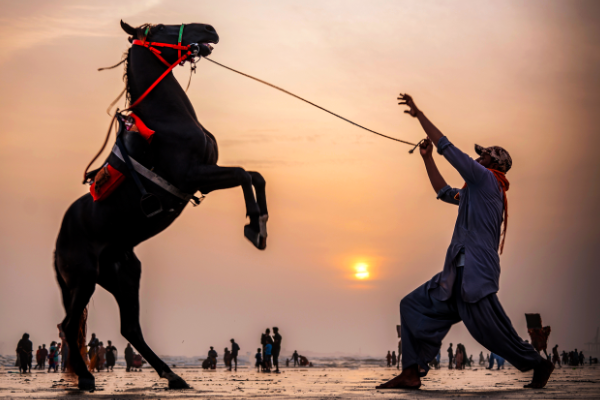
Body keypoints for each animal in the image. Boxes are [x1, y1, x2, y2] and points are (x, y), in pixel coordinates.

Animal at [55, 21, 268, 390]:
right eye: (161, 28)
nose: (209, 29)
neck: (169, 119)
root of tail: (57, 243)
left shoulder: (206, 174)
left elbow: (255, 176)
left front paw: (261, 224)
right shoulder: (194, 175)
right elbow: (244, 174)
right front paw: (253, 227)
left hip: (124, 274)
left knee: (130, 328)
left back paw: (172, 375)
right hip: (83, 278)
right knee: (69, 326)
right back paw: (85, 378)